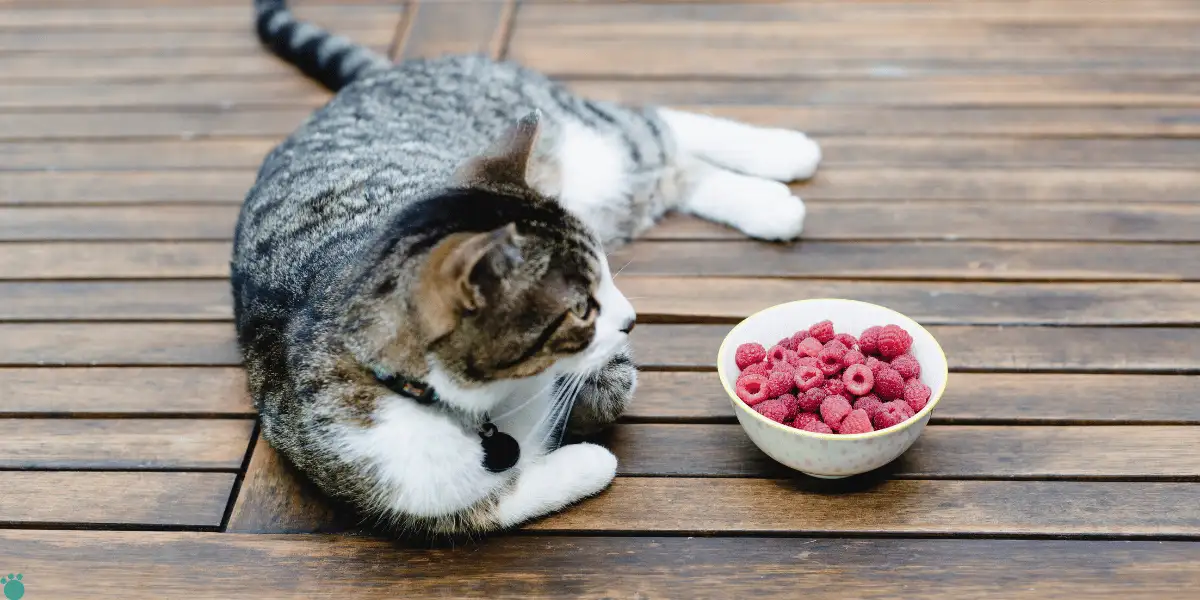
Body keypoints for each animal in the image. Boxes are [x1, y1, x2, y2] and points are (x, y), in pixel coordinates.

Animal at [230, 0, 820, 535]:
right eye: (582, 305)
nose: (632, 319)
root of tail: (378, 77)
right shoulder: (412, 496)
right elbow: (500, 501)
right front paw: (586, 458)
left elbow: (612, 384)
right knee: (670, 171)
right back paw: (767, 201)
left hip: (581, 139)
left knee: (653, 125)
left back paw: (784, 152)